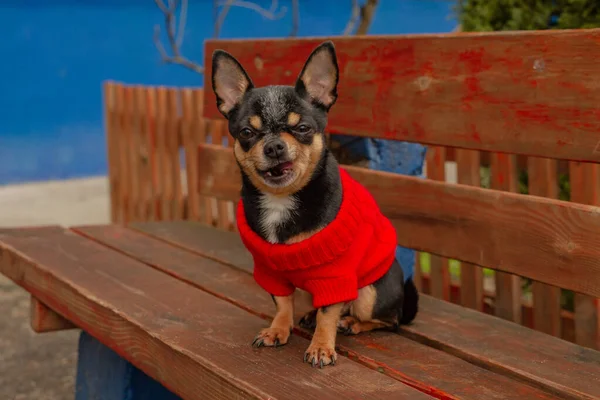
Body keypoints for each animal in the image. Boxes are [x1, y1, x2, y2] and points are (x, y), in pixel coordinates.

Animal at [211, 41, 418, 368]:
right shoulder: (271, 273)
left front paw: (321, 346)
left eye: (303, 128)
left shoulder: (335, 274)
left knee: (387, 319)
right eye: (246, 132)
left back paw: (353, 322)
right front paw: (278, 329)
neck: (283, 198)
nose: (274, 146)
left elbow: (328, 314)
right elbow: (283, 303)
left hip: (370, 294)